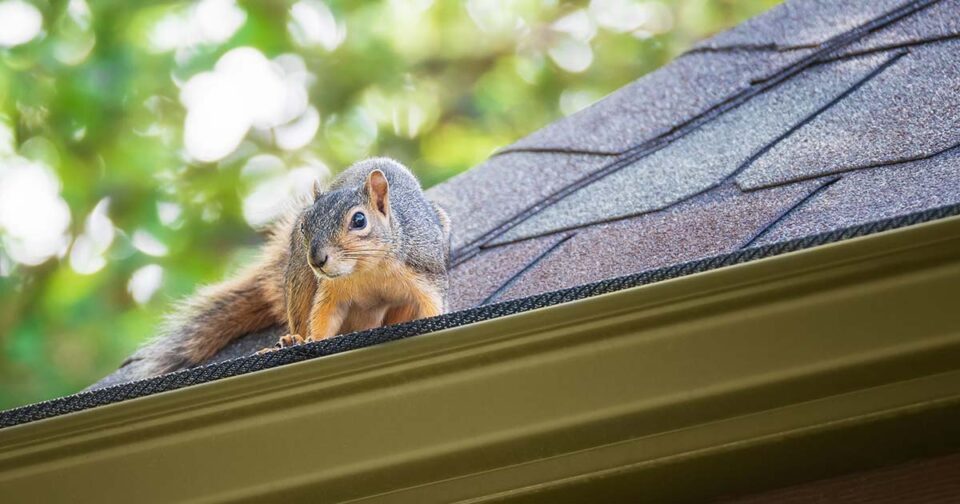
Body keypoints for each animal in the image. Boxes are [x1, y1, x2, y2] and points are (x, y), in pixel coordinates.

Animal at [122, 158, 450, 379]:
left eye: (359, 220)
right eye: (305, 224)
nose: (317, 259)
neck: (367, 270)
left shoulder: (424, 273)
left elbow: (432, 305)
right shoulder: (331, 291)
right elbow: (323, 317)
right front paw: (311, 341)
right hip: (299, 281)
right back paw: (292, 339)